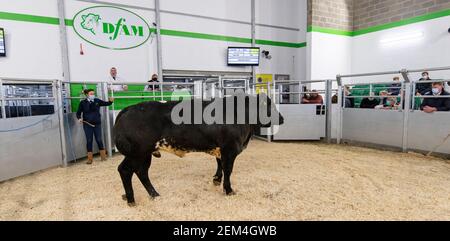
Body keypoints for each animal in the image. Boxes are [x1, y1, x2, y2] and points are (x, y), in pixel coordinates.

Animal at [112, 93, 284, 206]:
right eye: (270, 106)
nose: (282, 118)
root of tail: (128, 109)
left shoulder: (219, 148)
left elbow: (220, 165)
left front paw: (216, 180)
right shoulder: (229, 149)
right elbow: (228, 170)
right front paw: (228, 190)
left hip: (144, 154)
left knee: (141, 172)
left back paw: (154, 195)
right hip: (138, 153)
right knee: (126, 171)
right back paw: (132, 199)